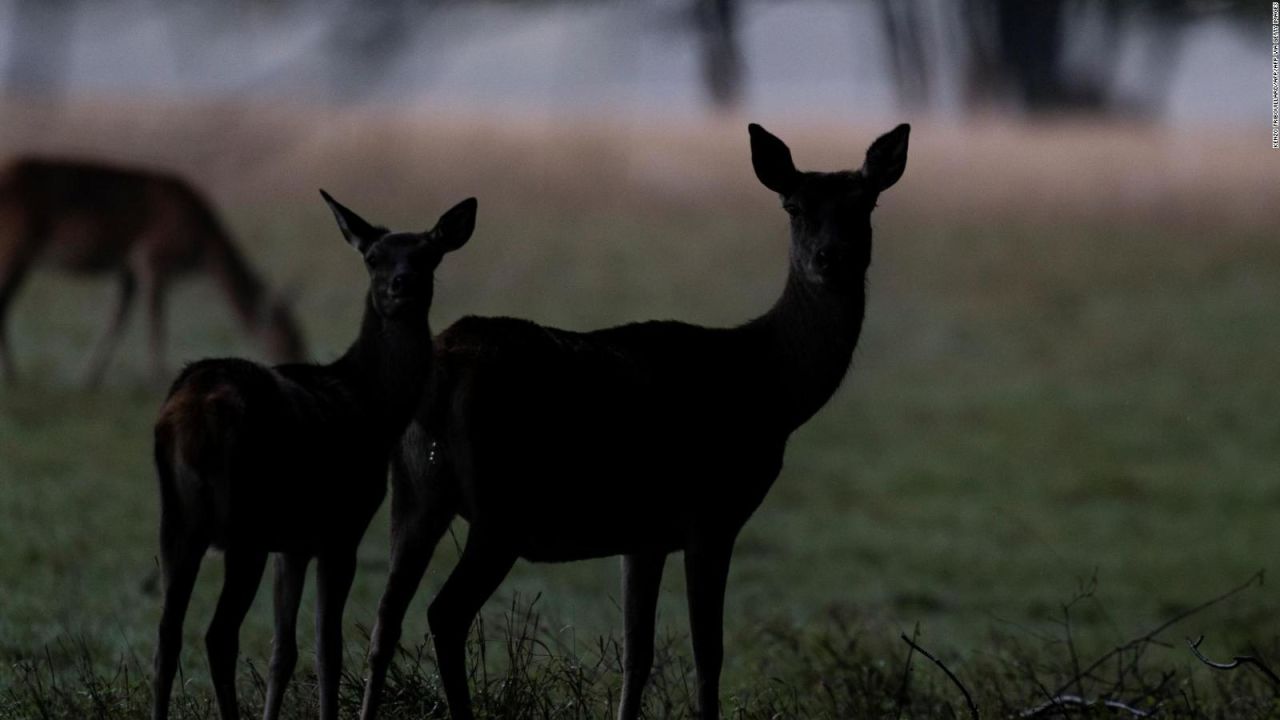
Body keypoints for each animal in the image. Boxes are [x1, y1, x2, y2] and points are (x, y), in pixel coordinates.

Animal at [0, 155, 307, 384]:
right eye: (288, 337)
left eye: (300, 335)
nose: (300, 365)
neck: (203, 249)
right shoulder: (153, 258)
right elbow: (156, 323)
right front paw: (156, 378)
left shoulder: (128, 270)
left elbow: (116, 321)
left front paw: (89, 378)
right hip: (16, 243)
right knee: (5, 301)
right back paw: (14, 376)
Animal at [151, 189, 481, 717]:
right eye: (373, 257)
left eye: (428, 254)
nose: (401, 285)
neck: (371, 404)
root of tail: (190, 413)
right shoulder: (342, 527)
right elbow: (329, 647)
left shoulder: (294, 543)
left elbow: (283, 651)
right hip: (244, 521)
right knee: (218, 635)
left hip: (175, 519)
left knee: (166, 635)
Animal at [358, 124, 911, 717]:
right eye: (793, 206)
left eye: (866, 203)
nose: (831, 258)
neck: (767, 391)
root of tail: (439, 372)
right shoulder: (711, 513)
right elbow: (708, 654)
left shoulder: (644, 534)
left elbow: (637, 653)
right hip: (499, 506)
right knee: (444, 613)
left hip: (414, 492)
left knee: (386, 617)